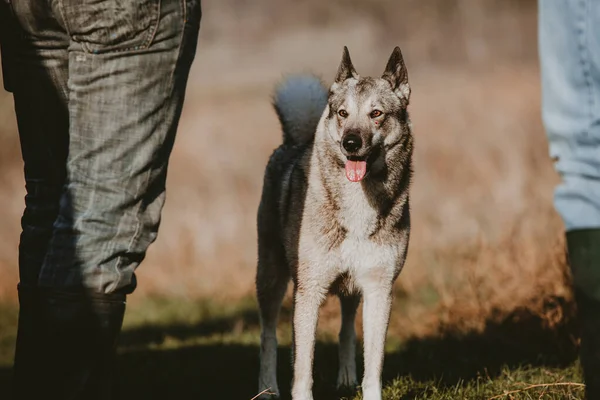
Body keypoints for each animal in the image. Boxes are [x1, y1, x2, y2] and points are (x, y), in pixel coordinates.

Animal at [255, 46, 414, 400]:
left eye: (376, 113)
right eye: (342, 113)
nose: (350, 143)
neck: (359, 202)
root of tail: (294, 141)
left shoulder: (379, 289)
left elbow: (373, 365)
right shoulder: (310, 290)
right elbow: (303, 369)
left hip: (350, 290)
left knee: (346, 327)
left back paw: (345, 377)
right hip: (271, 279)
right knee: (270, 335)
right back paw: (268, 388)